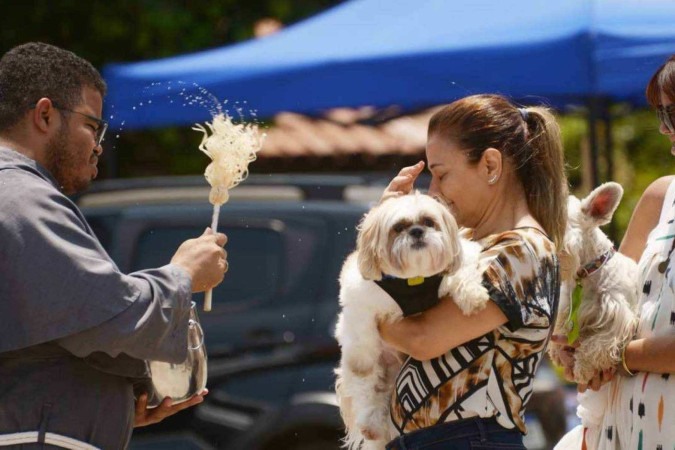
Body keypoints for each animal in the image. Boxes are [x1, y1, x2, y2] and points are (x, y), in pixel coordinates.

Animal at [334, 192, 488, 448]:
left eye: (428, 222)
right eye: (398, 227)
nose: (416, 232)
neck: (414, 279)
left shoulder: (462, 258)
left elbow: (462, 273)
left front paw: (472, 296)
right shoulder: (359, 300)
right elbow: (361, 343)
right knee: (366, 388)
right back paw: (371, 423)